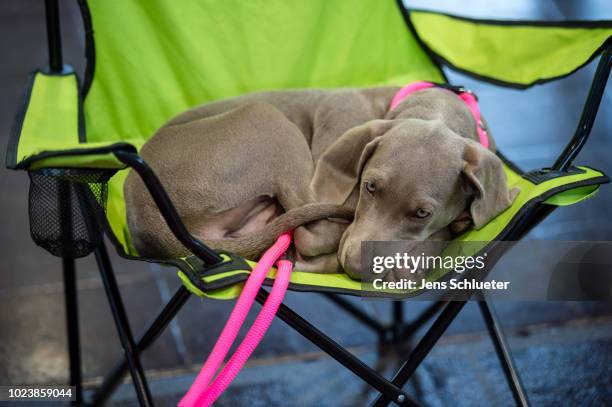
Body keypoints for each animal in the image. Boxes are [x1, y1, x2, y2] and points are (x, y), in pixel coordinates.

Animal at [126, 87, 520, 280]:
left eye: (422, 213)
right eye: (370, 187)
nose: (356, 266)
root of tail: (145, 213)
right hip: (267, 120)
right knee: (308, 235)